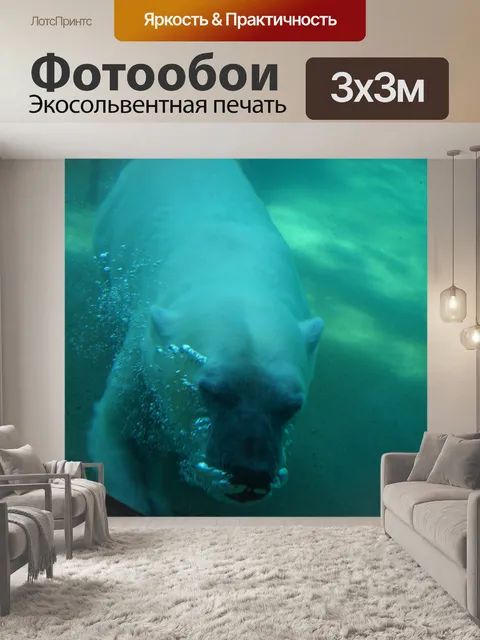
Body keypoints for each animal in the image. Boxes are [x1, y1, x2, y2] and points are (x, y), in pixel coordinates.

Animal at [88, 159, 324, 515]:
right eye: (211, 391)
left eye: (291, 406)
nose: (251, 475)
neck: (231, 270)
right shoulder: (143, 353)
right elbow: (119, 430)